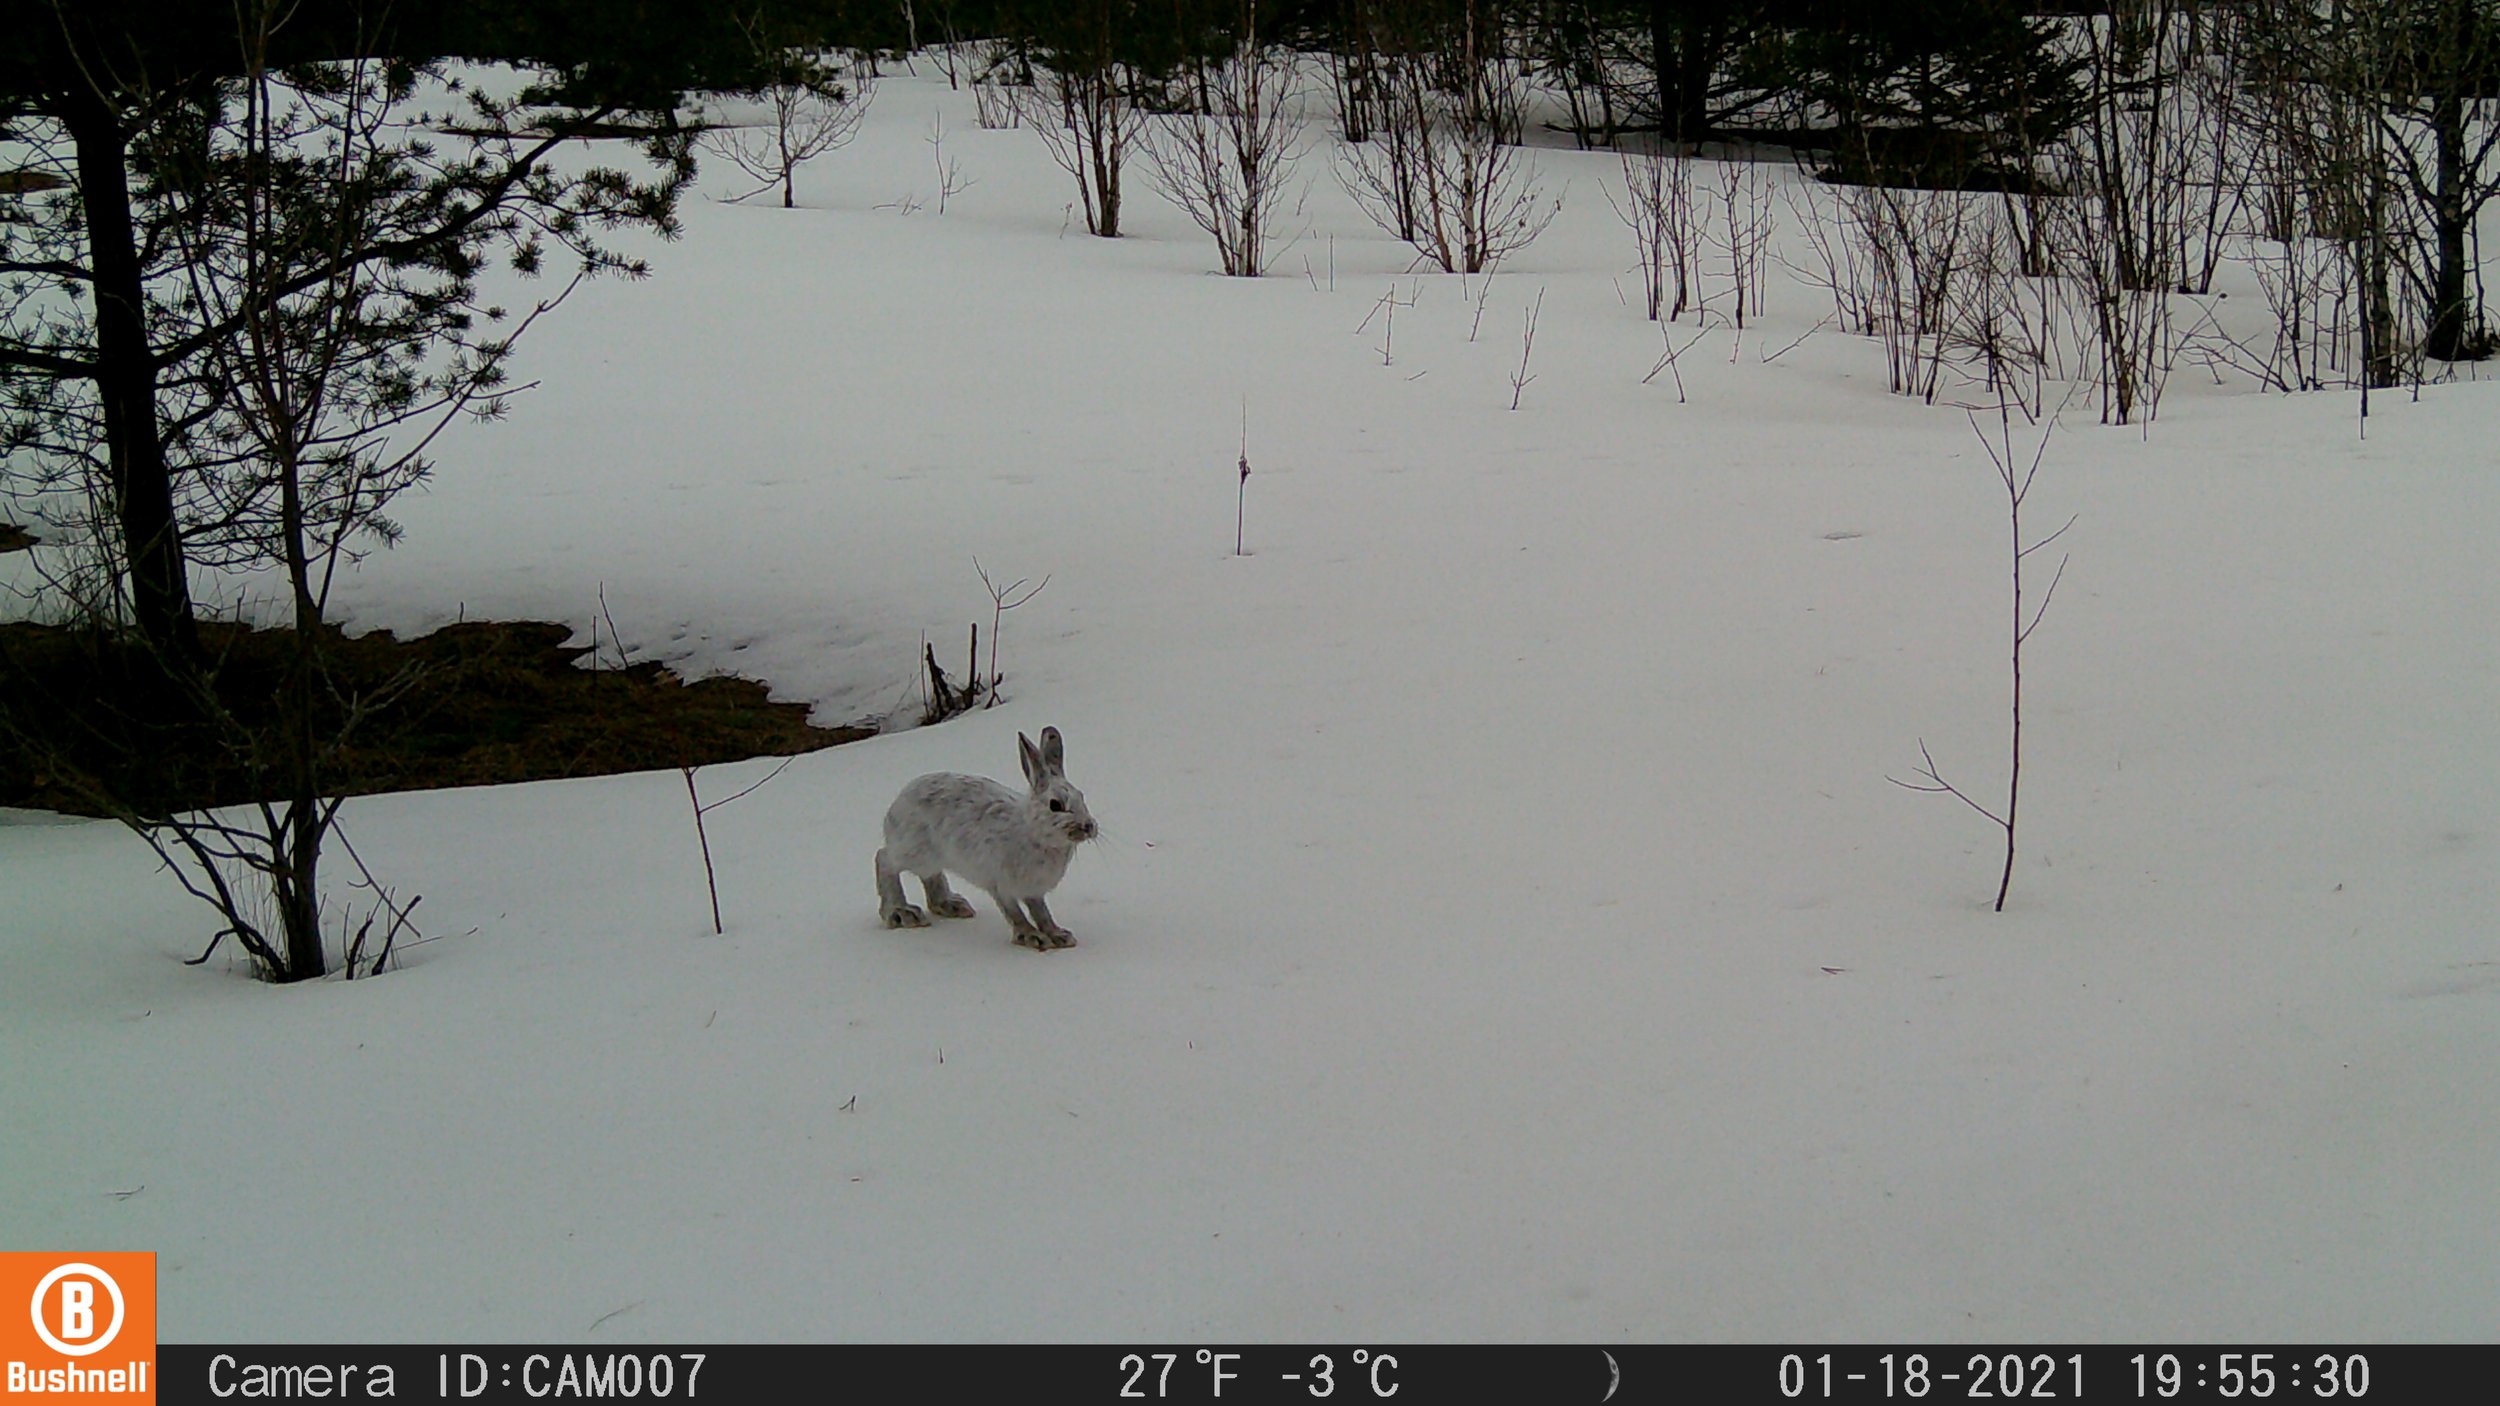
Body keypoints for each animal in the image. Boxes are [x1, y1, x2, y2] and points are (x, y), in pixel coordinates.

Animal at [876, 725, 1098, 950]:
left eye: (1082, 797)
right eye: (1055, 805)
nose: (1088, 827)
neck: (1034, 833)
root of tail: (898, 802)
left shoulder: (1033, 891)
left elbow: (1041, 913)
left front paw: (1059, 935)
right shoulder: (1001, 886)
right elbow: (1015, 914)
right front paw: (1031, 937)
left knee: (930, 876)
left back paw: (949, 905)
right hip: (915, 851)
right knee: (884, 859)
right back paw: (901, 913)